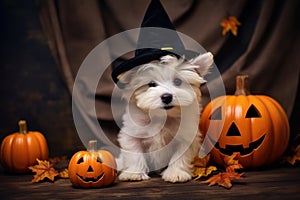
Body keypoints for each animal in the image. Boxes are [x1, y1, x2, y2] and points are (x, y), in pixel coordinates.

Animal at [115, 52, 213, 183]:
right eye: (151, 84)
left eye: (177, 81)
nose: (167, 97)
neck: (161, 118)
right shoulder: (133, 135)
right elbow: (135, 154)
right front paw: (134, 173)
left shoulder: (186, 138)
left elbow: (180, 156)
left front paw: (176, 173)